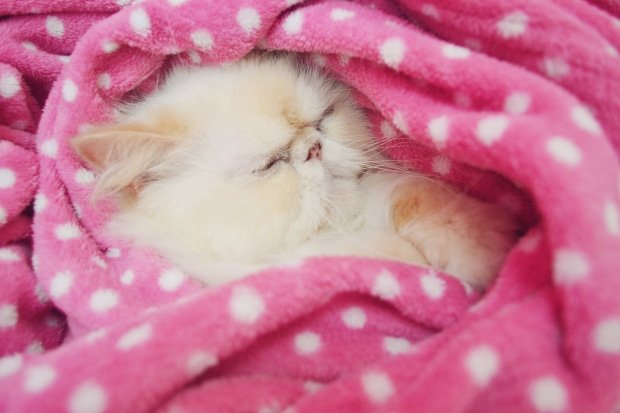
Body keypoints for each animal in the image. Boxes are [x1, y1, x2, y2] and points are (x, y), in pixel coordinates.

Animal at [74, 53, 520, 288]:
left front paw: (482, 246)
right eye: (269, 163)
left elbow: (418, 195)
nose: (314, 149)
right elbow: (389, 260)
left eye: (322, 120)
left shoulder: (392, 190)